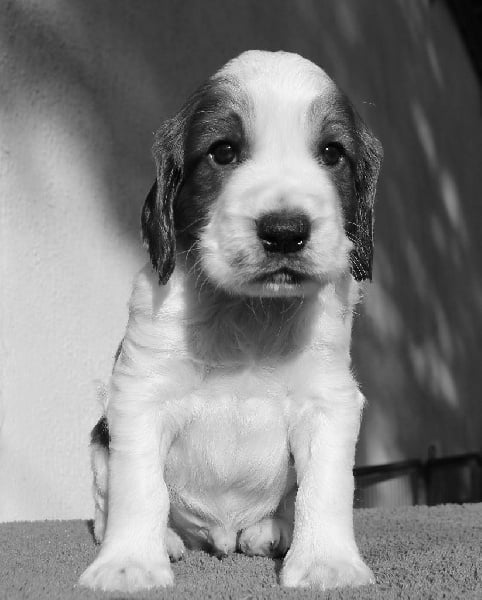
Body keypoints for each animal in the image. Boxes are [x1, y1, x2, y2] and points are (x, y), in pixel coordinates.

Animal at [77, 50, 382, 592]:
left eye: (331, 153)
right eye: (222, 152)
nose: (284, 231)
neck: (248, 312)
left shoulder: (328, 400)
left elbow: (324, 487)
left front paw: (326, 564)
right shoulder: (140, 395)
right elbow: (140, 488)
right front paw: (129, 565)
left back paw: (272, 531)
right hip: (97, 447)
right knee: (104, 507)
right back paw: (167, 541)